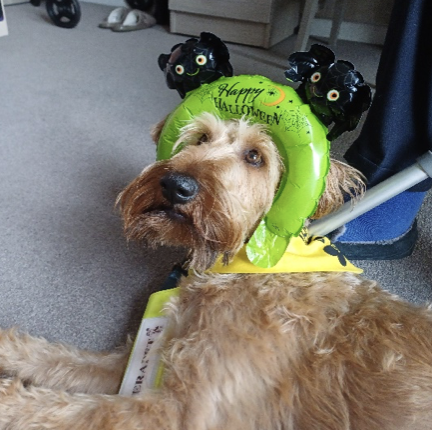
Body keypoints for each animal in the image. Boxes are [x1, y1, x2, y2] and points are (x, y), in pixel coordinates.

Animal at [0, 115, 432, 430]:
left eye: (255, 156)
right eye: (200, 138)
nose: (175, 184)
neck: (245, 267)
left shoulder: (181, 411)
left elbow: (73, 410)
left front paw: (8, 401)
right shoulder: (144, 360)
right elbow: (61, 359)